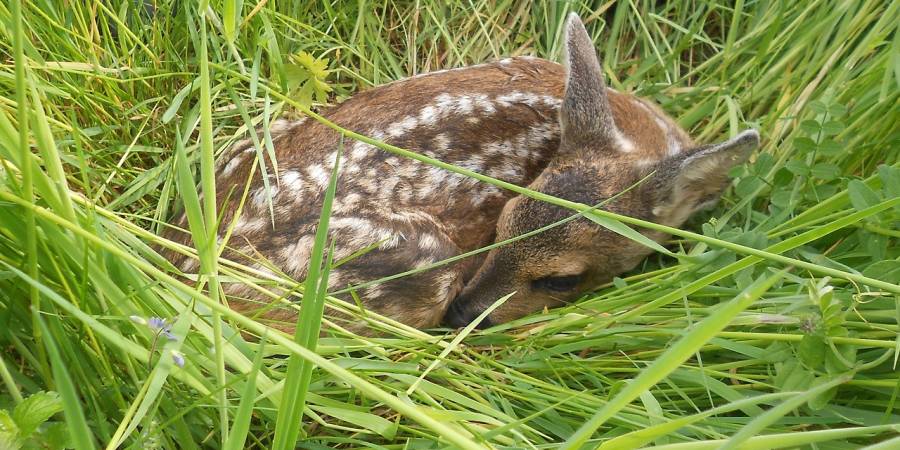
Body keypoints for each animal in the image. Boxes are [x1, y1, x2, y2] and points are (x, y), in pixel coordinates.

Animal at [165, 14, 756, 332]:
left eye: (562, 279)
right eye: (501, 223)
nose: (463, 315)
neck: (643, 133)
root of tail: (187, 267)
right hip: (414, 257)